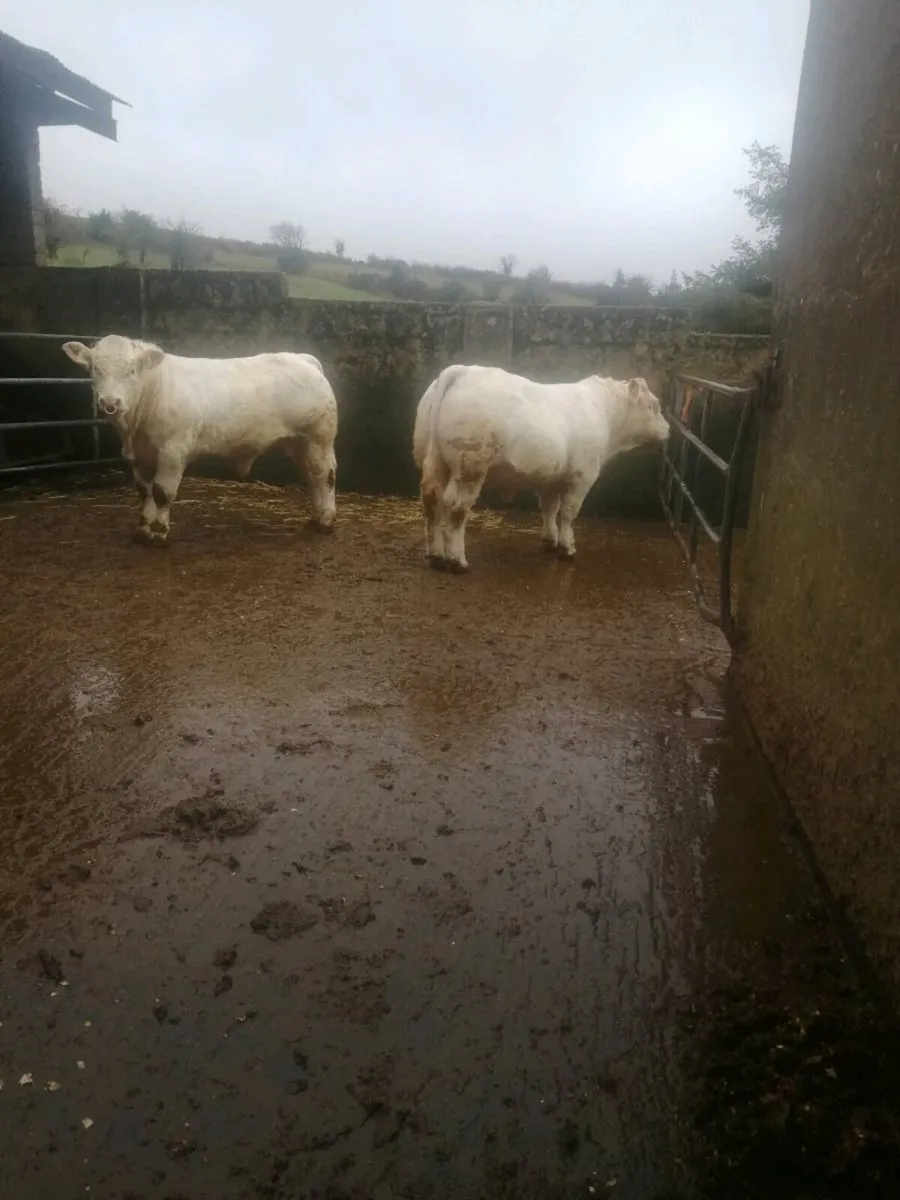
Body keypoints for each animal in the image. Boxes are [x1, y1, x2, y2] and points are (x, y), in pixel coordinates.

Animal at [62, 335, 338, 547]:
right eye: (95, 369)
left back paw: (326, 520)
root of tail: (303, 358)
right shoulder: (138, 457)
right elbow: (144, 492)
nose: (110, 403)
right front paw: (143, 530)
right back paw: (316, 517)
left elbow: (162, 492)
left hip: (319, 438)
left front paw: (159, 532)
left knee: (325, 475)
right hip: (298, 442)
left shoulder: (172, 452)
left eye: (131, 370)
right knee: (312, 476)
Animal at [413, 364, 669, 573]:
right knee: (456, 508)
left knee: (432, 500)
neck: (605, 413)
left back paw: (435, 555)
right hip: (470, 466)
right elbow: (568, 512)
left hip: (434, 460)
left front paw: (550, 540)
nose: (668, 429)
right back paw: (457, 560)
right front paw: (567, 547)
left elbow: (549, 508)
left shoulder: (551, 478)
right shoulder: (582, 476)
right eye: (653, 406)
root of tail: (462, 370)